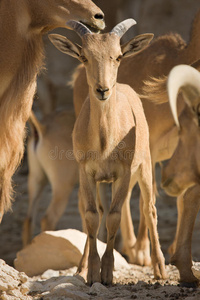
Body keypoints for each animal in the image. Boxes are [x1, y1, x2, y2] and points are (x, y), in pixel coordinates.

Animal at [48, 19, 166, 284]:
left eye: (118, 56)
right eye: (84, 56)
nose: (102, 90)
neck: (105, 143)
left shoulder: (124, 172)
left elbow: (114, 216)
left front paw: (108, 273)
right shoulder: (86, 172)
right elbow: (92, 216)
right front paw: (91, 272)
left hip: (145, 165)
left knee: (149, 208)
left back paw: (159, 268)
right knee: (98, 211)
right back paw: (81, 267)